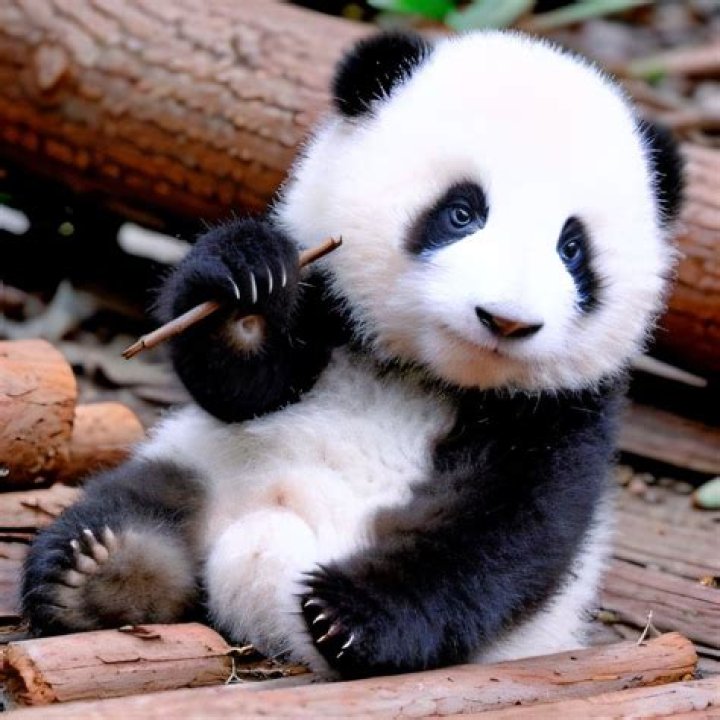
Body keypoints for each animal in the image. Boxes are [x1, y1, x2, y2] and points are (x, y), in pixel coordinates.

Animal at [22, 30, 683, 679]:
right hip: (200, 464)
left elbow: (510, 525)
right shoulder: (328, 305)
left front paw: (350, 615)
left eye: (572, 248)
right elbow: (245, 389)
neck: (423, 372)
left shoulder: (565, 411)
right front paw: (248, 285)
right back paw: (102, 570)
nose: (506, 319)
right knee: (130, 500)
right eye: (462, 212)